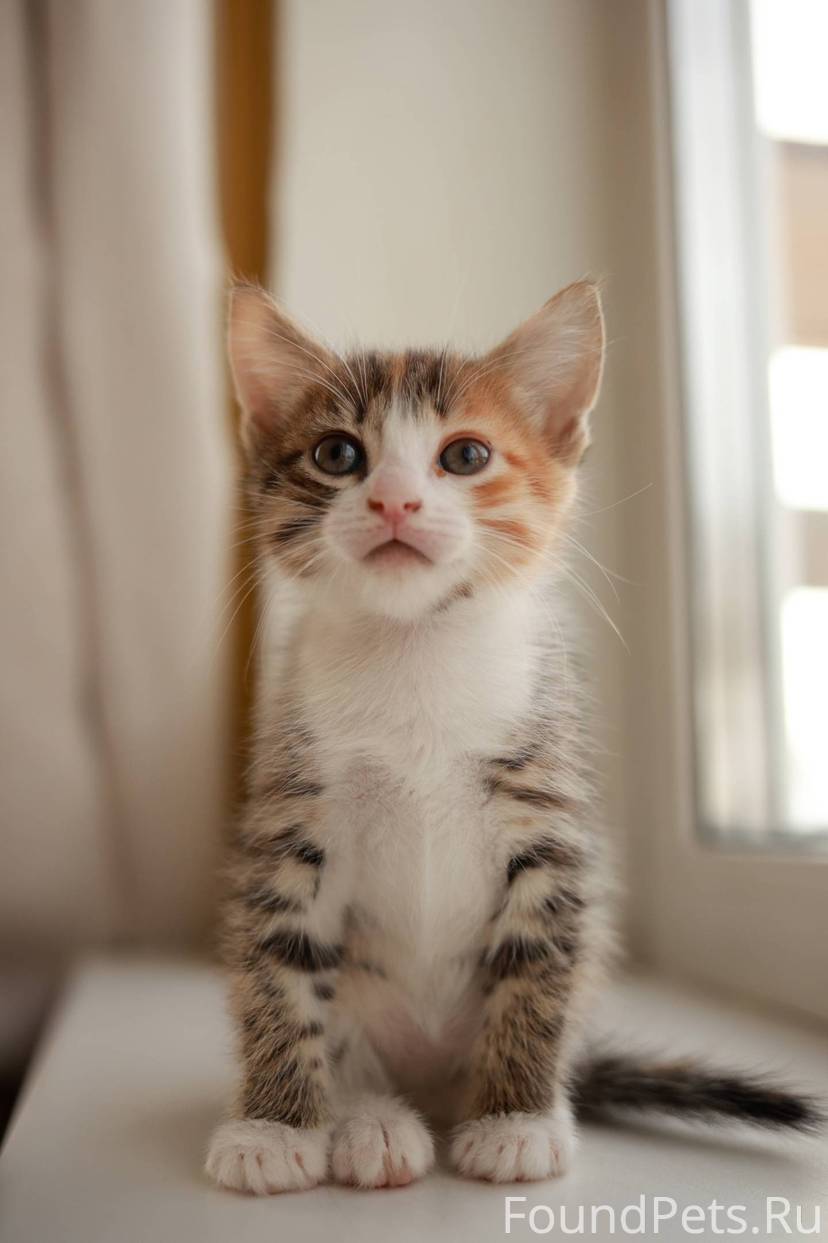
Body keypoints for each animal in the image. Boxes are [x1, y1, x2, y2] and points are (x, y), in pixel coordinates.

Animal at [206, 280, 820, 1194]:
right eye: (337, 454)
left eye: (464, 456)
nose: (394, 500)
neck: (417, 649)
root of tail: (430, 1086)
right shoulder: (292, 810)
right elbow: (277, 966)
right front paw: (272, 1128)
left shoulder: (552, 816)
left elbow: (540, 966)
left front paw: (515, 1118)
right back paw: (369, 1118)